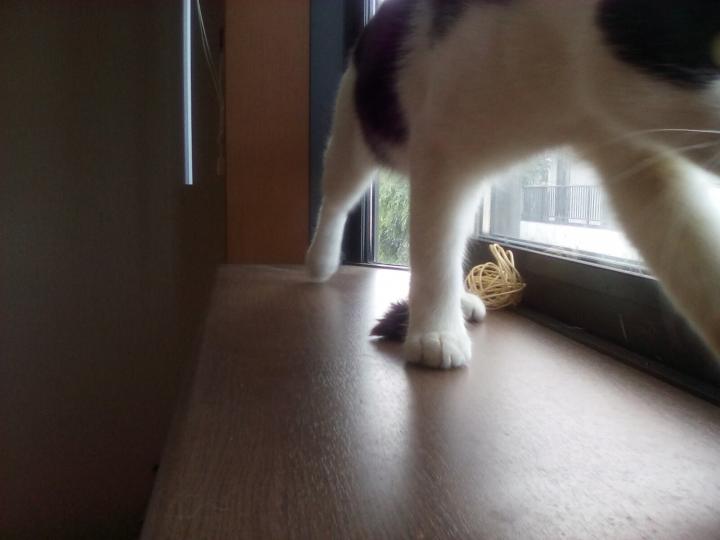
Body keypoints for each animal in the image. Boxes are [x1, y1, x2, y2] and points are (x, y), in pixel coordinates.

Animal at [306, 0, 720, 369]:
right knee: (338, 201)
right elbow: (434, 251)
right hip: (355, 138)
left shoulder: (637, 156)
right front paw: (436, 332)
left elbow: (696, 257)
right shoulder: (442, 149)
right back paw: (320, 261)